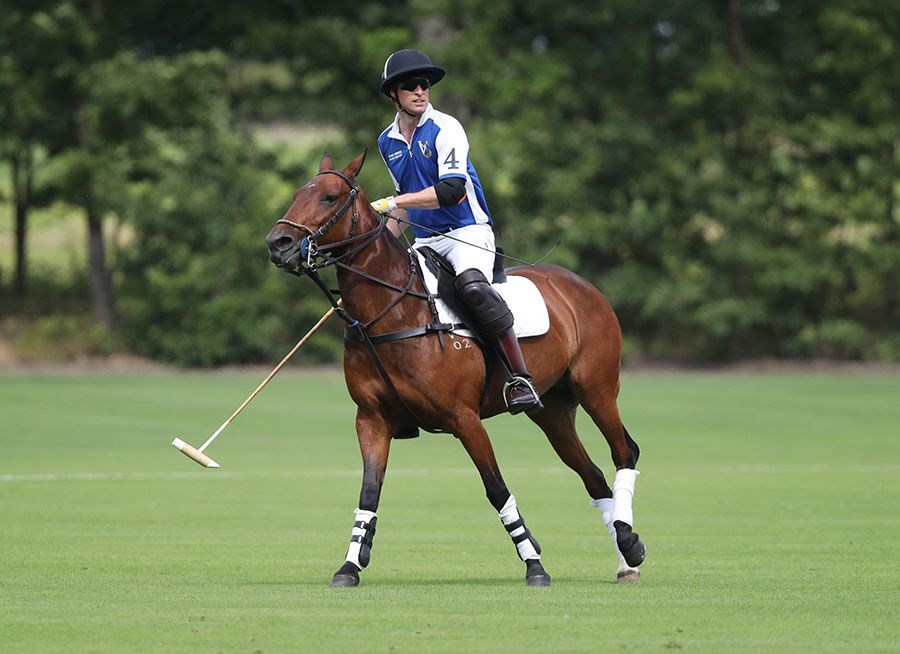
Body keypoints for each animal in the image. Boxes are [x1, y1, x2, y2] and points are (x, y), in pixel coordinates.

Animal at [266, 152, 648, 588]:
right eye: (297, 194)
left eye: (329, 197)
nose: (277, 243)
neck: (393, 312)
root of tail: (584, 285)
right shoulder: (371, 419)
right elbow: (368, 493)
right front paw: (349, 566)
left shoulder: (464, 417)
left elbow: (496, 489)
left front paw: (534, 565)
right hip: (552, 409)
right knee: (592, 474)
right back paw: (625, 559)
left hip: (597, 387)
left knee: (624, 450)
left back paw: (629, 542)